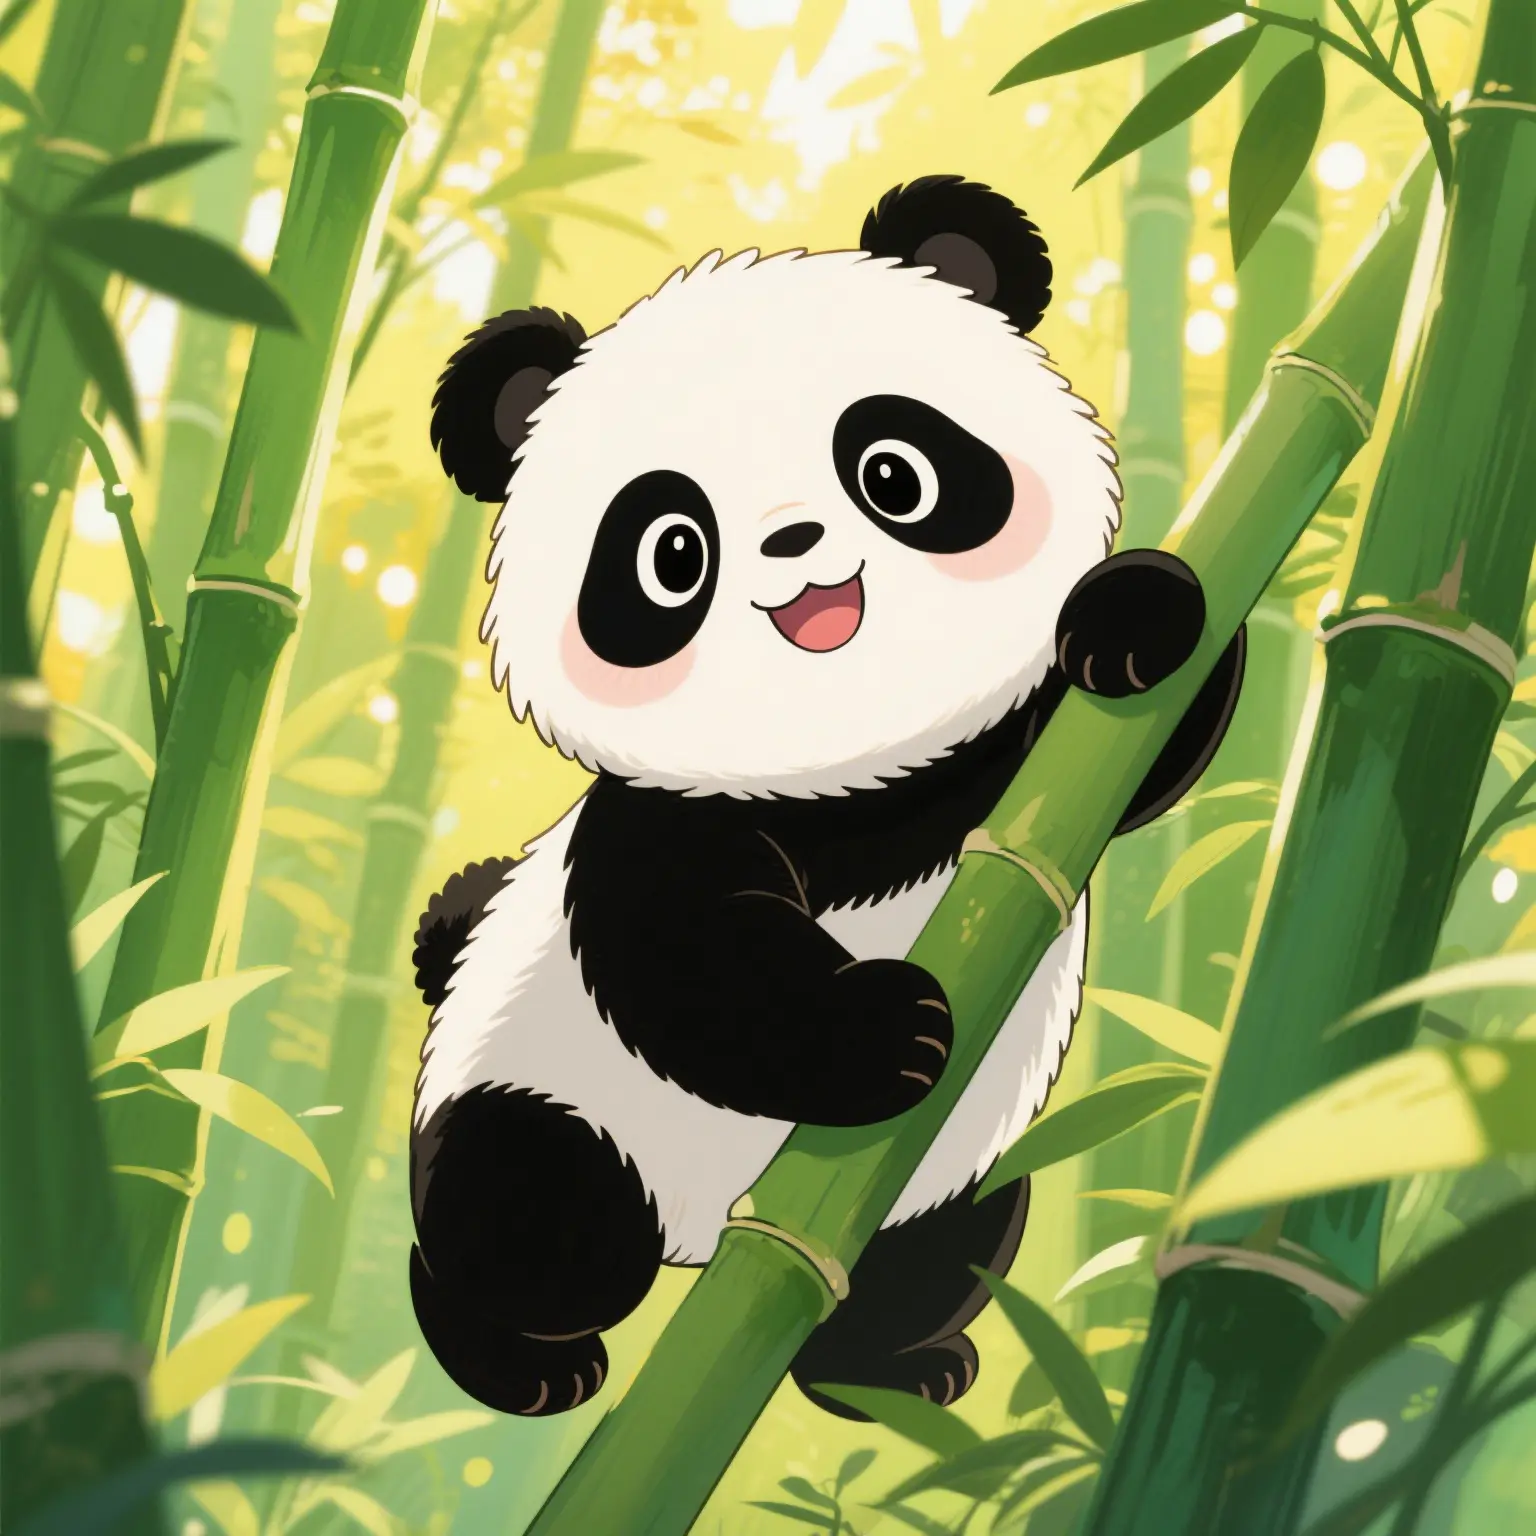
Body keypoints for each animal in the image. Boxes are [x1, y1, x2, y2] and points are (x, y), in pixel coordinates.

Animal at [409, 176, 1244, 1421]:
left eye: (895, 471)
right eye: (670, 551)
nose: (795, 549)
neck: (852, 763)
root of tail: (706, 1243)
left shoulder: (1006, 755)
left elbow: (1141, 741)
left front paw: (1135, 614)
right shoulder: (660, 816)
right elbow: (689, 958)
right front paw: (885, 1028)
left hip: (954, 1171)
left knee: (944, 1246)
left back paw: (885, 1371)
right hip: (545, 1103)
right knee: (536, 1221)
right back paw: (523, 1362)